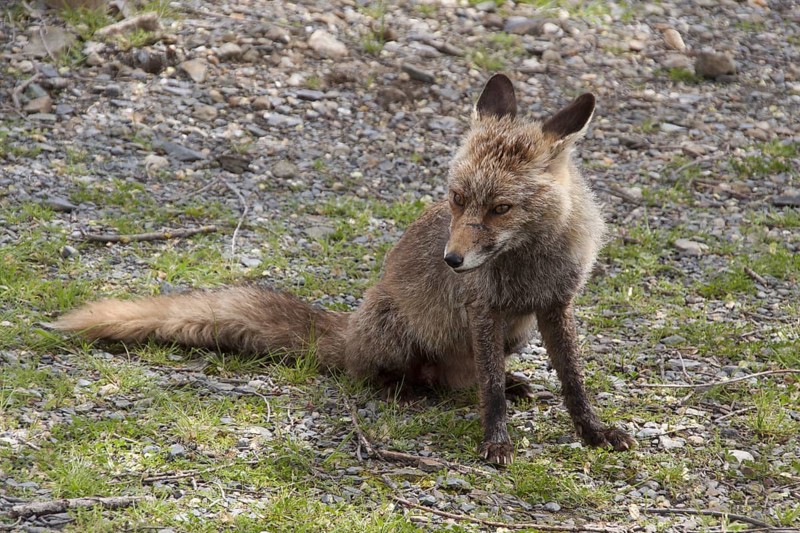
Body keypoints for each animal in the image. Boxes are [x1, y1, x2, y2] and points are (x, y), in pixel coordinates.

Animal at [53, 74, 636, 464]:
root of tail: (351, 329)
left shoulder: (555, 305)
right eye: (455, 198)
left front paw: (593, 433)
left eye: (501, 208)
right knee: (393, 375)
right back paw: (406, 388)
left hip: (515, 333)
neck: (528, 264)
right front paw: (496, 440)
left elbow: (573, 384)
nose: (452, 261)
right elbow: (489, 393)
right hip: (401, 335)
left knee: (462, 380)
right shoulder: (482, 308)